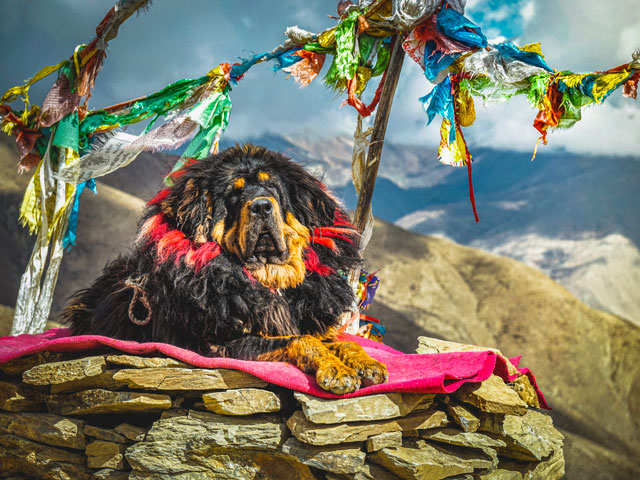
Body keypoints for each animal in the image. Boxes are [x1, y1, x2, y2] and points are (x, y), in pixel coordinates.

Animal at [62, 143, 388, 394]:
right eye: (234, 194)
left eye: (272, 187)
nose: (261, 206)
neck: (268, 281)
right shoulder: (224, 345)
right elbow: (302, 340)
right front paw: (336, 370)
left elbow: (341, 342)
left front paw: (365, 362)